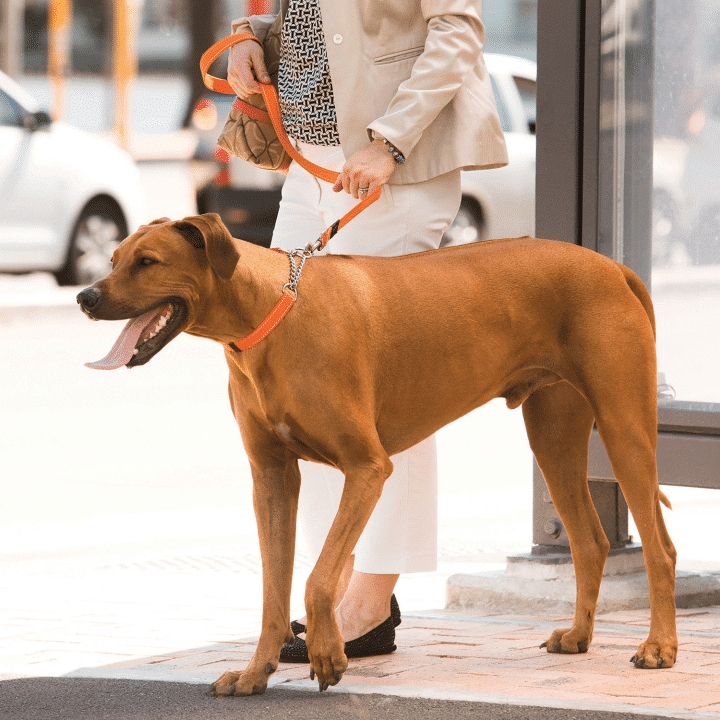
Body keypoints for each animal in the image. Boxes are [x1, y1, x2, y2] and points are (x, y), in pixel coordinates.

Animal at [76, 215, 676, 696]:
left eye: (148, 262)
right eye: (113, 259)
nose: (84, 297)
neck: (270, 314)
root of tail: (613, 267)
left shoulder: (367, 468)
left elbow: (319, 578)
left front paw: (328, 652)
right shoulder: (272, 477)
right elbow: (274, 589)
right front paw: (256, 672)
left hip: (623, 427)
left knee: (660, 548)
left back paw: (659, 647)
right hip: (553, 438)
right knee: (591, 541)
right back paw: (579, 635)